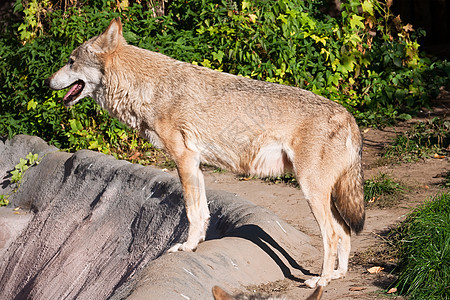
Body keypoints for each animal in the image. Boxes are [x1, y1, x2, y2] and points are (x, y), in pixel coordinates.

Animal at [44, 17, 366, 288]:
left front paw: (186, 247)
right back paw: (338, 274)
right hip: (324, 195)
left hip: (312, 192)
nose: (47, 81)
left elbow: (190, 211)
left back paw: (321, 281)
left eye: (71, 61)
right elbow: (201, 213)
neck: (147, 87)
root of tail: (349, 117)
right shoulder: (195, 163)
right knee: (345, 231)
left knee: (333, 234)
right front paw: (193, 246)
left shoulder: (184, 159)